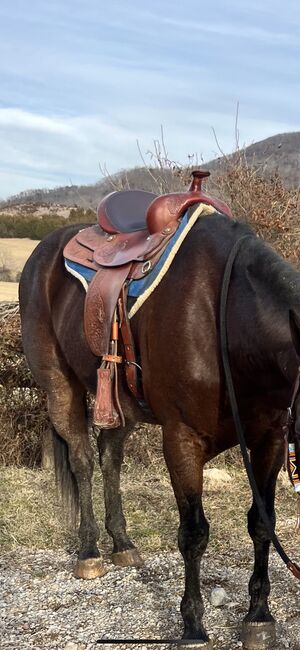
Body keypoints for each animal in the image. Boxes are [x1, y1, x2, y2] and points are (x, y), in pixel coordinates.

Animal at [19, 213, 300, 648]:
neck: (227, 320)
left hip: (121, 406)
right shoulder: (181, 440)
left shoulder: (269, 438)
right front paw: (193, 625)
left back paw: (122, 544)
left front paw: (258, 617)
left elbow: (262, 523)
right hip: (59, 387)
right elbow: (194, 534)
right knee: (83, 461)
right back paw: (89, 552)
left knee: (110, 457)